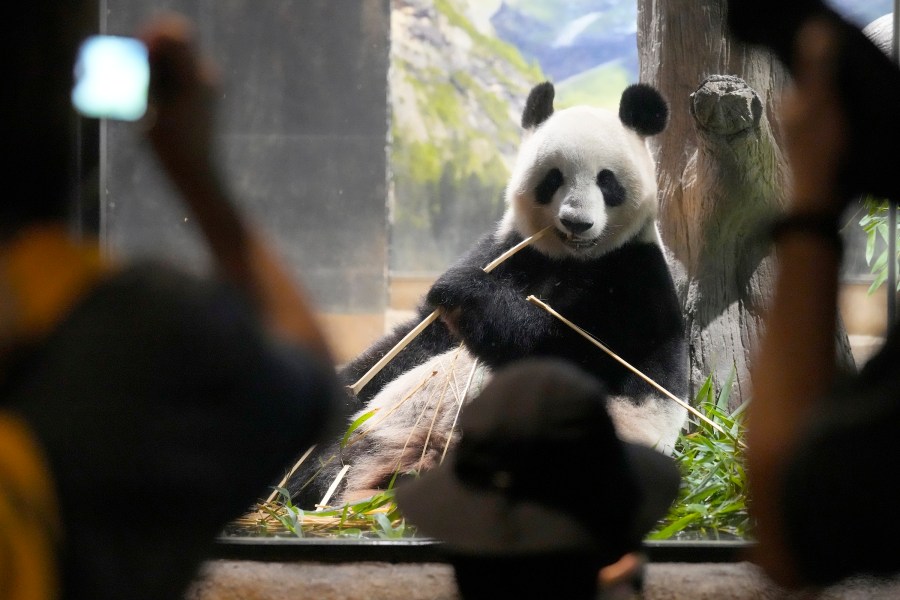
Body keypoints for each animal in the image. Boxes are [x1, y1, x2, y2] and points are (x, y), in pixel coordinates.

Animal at [288, 81, 688, 510]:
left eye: (607, 181)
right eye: (554, 178)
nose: (576, 222)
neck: (571, 259)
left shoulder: (633, 282)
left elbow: (571, 352)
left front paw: (465, 291)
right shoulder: (509, 250)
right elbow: (413, 342)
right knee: (340, 446)